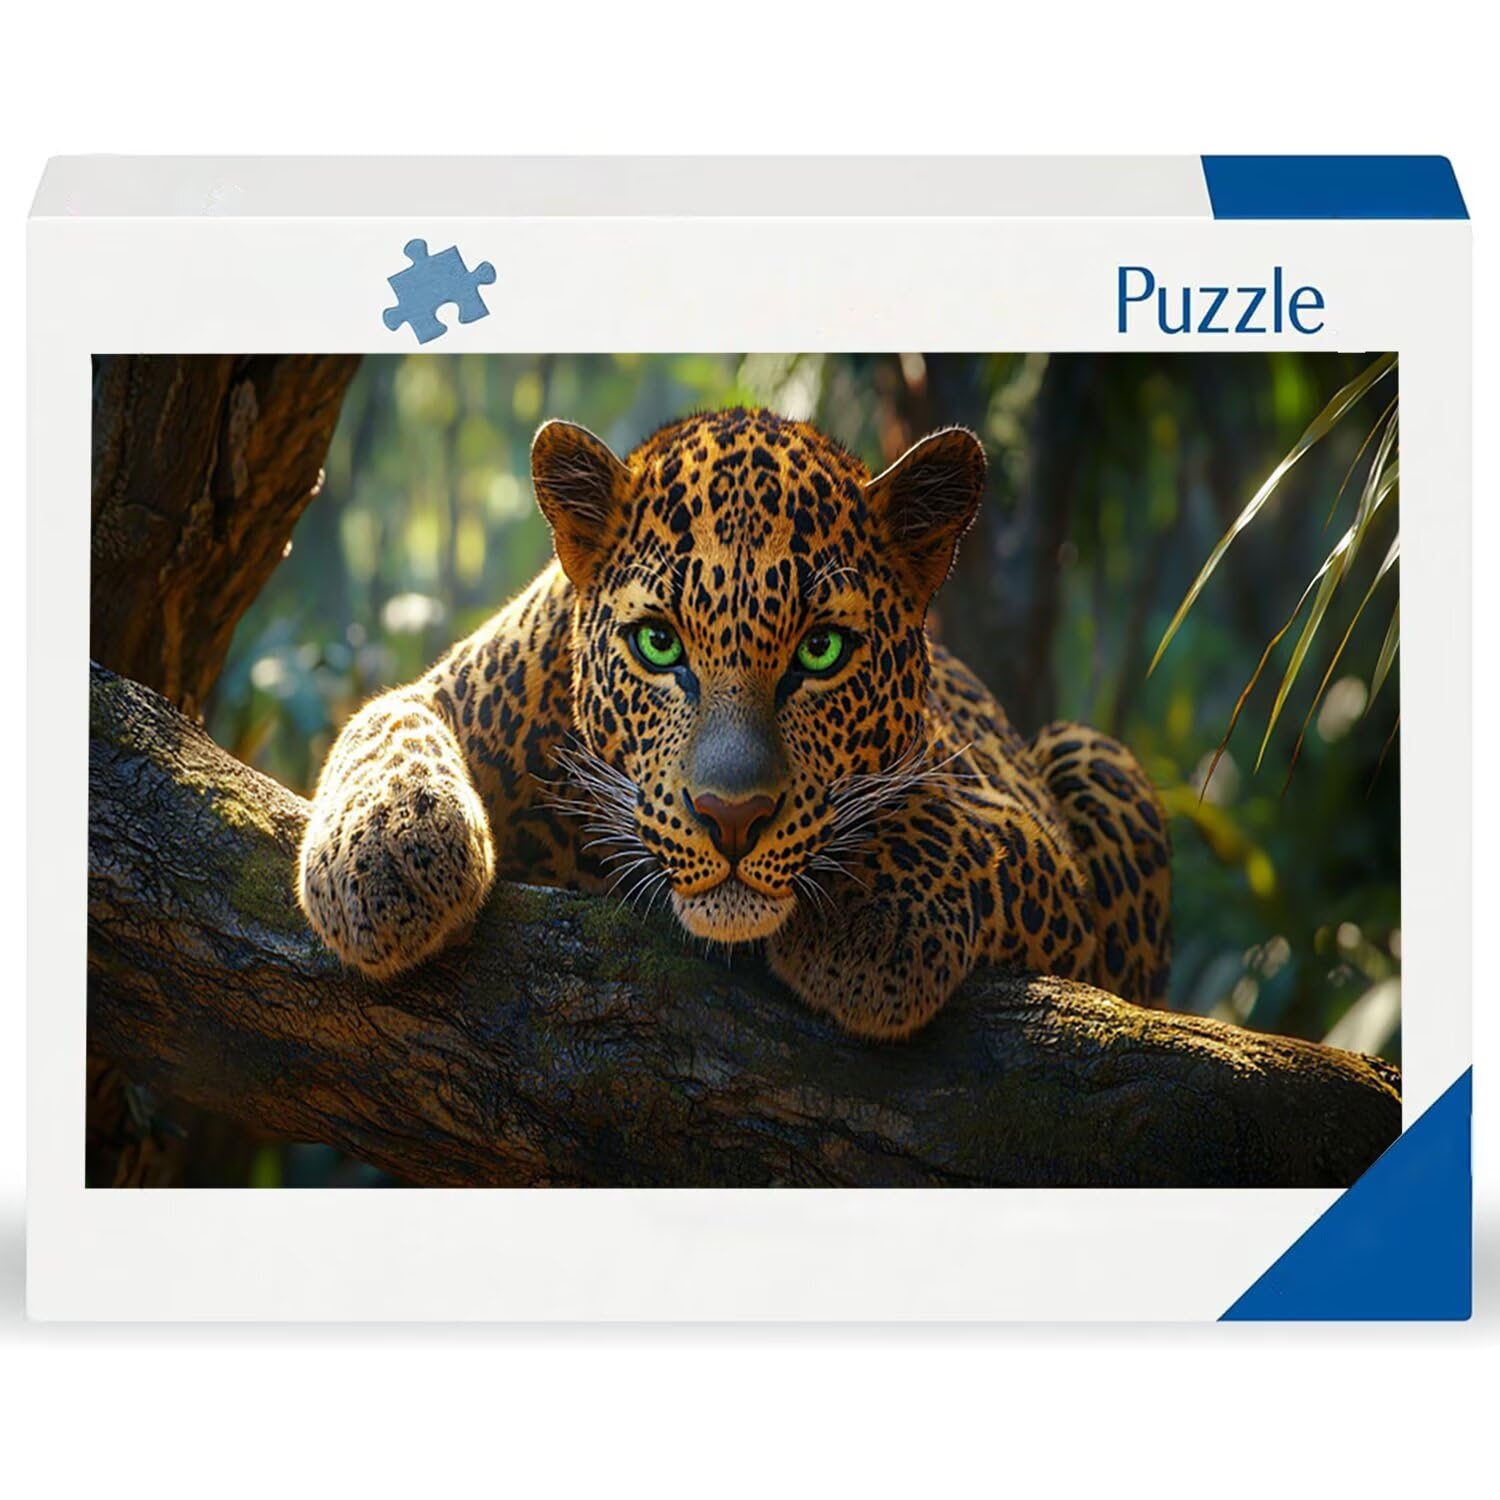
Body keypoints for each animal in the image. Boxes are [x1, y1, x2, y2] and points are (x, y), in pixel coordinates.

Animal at [297, 407, 1171, 1039]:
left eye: (821, 650)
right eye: (658, 643)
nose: (732, 819)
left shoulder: (1037, 843)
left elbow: (955, 824)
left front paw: (871, 920)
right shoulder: (460, 688)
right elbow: (384, 723)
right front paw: (389, 847)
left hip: (1087, 748)